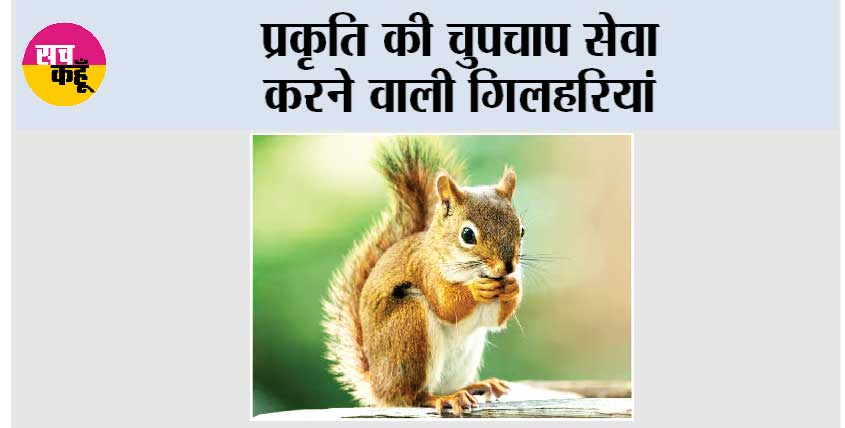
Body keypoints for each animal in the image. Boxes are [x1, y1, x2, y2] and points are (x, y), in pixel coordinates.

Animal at [322, 137, 524, 416]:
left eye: (522, 230)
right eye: (467, 235)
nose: (507, 268)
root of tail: (380, 388)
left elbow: (496, 319)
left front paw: (513, 287)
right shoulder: (426, 270)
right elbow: (448, 305)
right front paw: (475, 290)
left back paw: (477, 386)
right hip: (409, 327)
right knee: (414, 397)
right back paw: (445, 399)